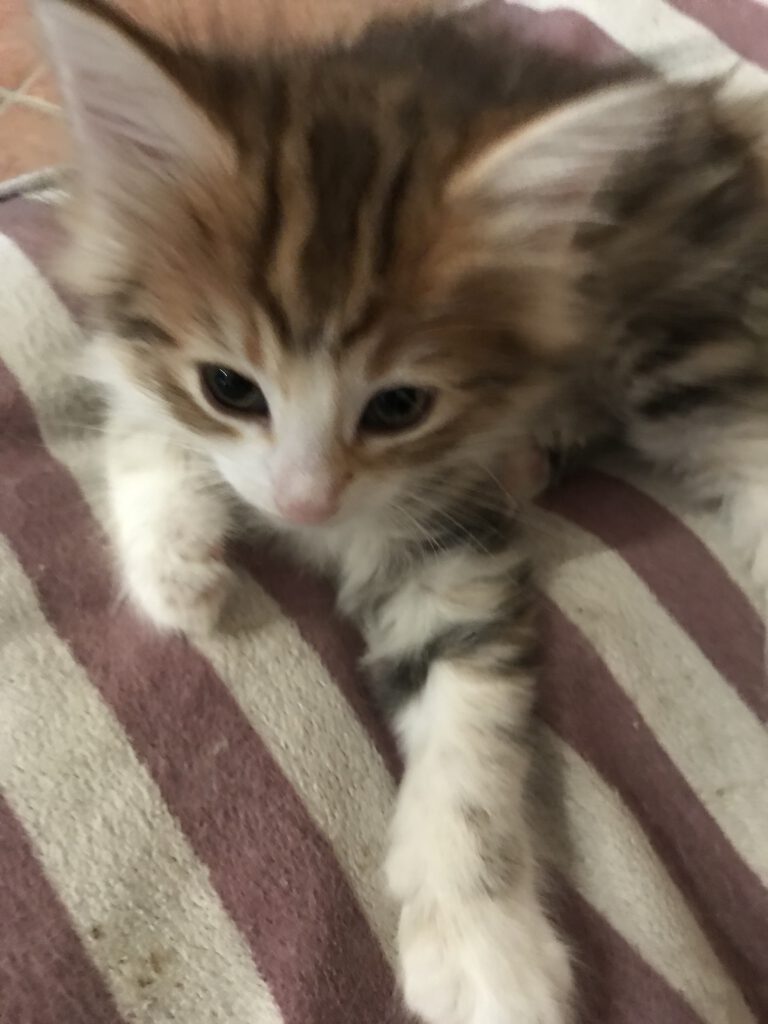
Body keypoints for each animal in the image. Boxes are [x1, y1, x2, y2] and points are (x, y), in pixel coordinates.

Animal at [35, 1, 768, 1022]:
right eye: (229, 387)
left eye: (398, 407)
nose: (304, 503)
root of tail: (716, 125)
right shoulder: (131, 347)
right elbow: (142, 425)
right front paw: (176, 570)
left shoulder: (445, 534)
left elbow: (468, 727)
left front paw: (484, 947)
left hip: (669, 341)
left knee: (742, 429)